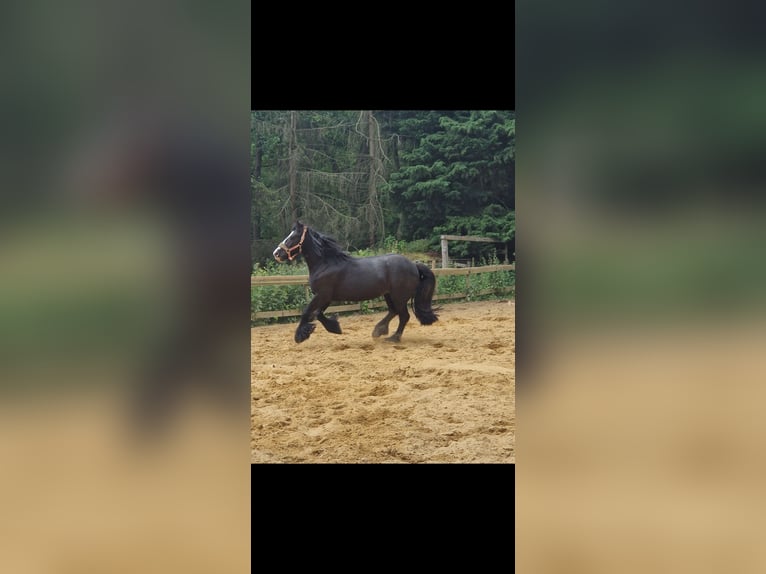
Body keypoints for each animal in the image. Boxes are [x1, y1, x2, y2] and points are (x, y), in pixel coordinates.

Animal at [274, 223, 440, 344]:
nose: (276, 254)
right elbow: (318, 314)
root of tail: (414, 265)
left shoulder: (322, 295)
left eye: (293, 237)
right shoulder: (326, 297)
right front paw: (335, 327)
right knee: (394, 312)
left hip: (399, 297)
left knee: (404, 316)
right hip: (388, 295)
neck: (325, 263)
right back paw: (379, 331)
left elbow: (307, 312)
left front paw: (300, 336)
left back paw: (393, 337)